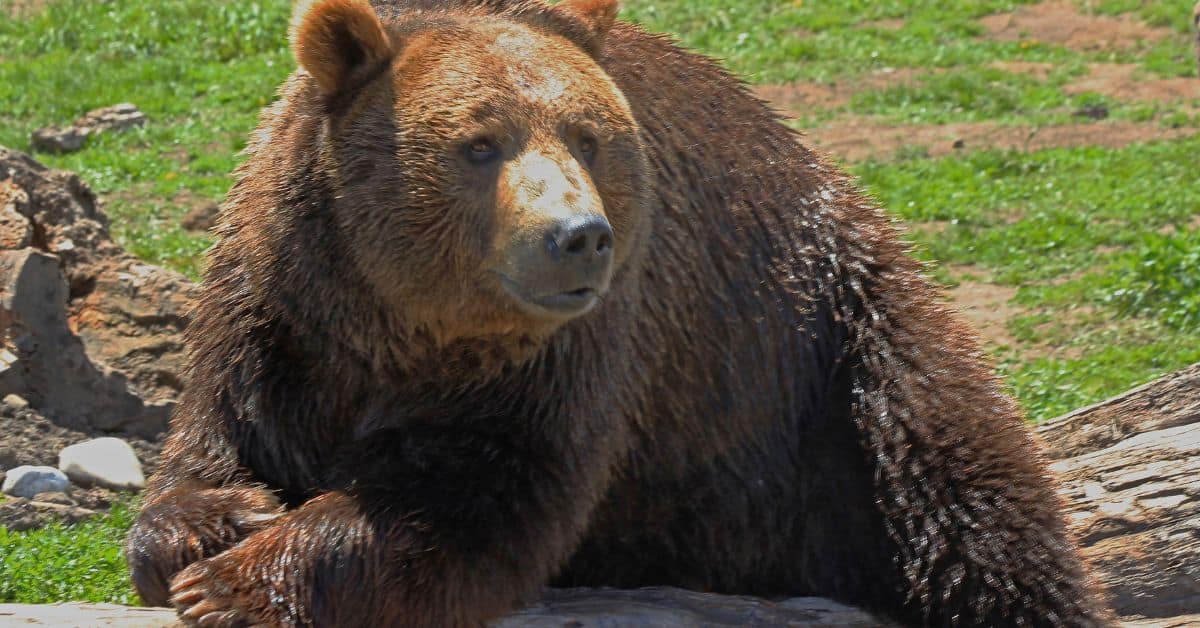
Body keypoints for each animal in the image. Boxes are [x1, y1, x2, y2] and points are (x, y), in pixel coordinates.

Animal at [126, 0, 1109, 626]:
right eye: (479, 144)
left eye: (588, 136)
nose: (578, 236)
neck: (403, 322)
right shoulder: (280, 310)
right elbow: (214, 439)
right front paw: (221, 520)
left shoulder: (575, 356)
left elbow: (472, 502)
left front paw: (235, 583)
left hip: (837, 349)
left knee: (968, 498)